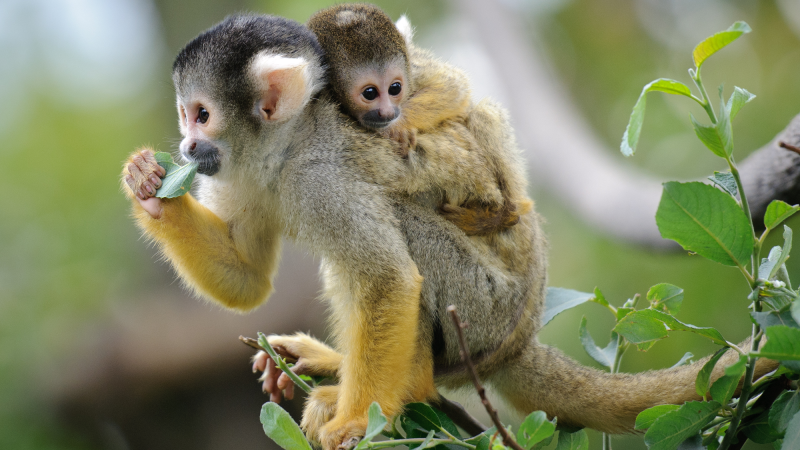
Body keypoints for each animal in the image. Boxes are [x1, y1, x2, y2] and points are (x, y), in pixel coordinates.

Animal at [308, 4, 532, 236]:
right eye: (370, 93)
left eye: (395, 88)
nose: (388, 113)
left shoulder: (414, 67)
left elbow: (453, 87)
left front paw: (399, 127)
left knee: (483, 114)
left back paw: (505, 215)